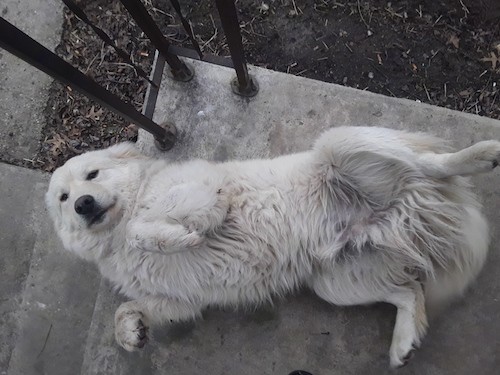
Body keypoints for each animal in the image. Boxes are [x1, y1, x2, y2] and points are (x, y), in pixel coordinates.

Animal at [45, 128, 498, 368]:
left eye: (93, 174)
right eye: (64, 197)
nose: (83, 204)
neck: (116, 233)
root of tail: (404, 205)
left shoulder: (205, 188)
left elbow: (151, 224)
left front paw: (175, 237)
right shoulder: (179, 302)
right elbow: (129, 309)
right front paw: (131, 332)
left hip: (340, 145)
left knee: (432, 163)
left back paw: (482, 155)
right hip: (336, 282)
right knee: (410, 290)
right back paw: (403, 341)